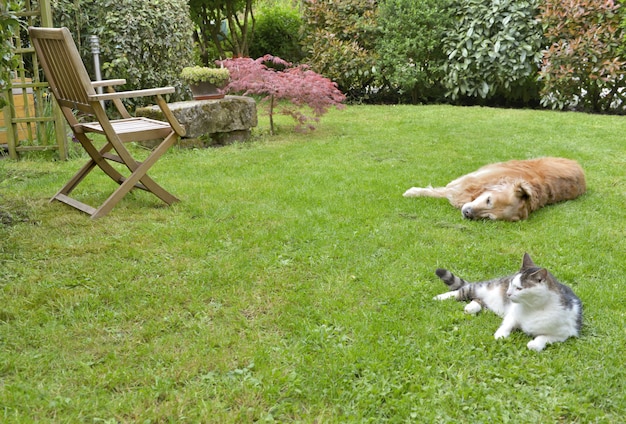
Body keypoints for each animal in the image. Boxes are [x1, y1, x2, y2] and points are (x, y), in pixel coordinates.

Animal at [402, 157, 584, 220]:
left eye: (488, 217)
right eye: (488, 200)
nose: (467, 213)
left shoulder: (458, 187)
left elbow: (438, 192)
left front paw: (413, 192)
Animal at [434, 253, 580, 352]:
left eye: (519, 288)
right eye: (511, 283)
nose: (508, 294)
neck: (534, 307)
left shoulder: (563, 333)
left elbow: (545, 337)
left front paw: (535, 344)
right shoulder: (513, 314)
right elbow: (507, 324)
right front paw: (500, 335)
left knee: (478, 300)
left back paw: (471, 307)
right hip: (482, 287)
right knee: (461, 291)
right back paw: (440, 297)